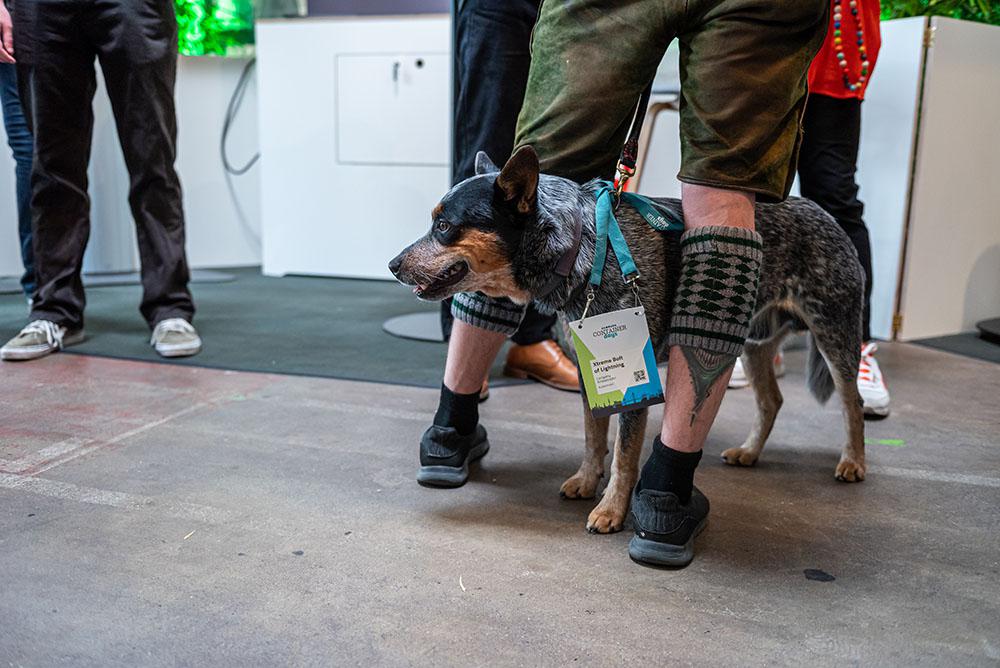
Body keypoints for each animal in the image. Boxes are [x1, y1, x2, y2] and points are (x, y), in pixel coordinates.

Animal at [390, 146, 866, 534]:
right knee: (771, 400)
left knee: (851, 401)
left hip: (834, 331)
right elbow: (593, 435)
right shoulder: (590, 373)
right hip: (751, 342)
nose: (393, 264)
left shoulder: (638, 381)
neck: (582, 251)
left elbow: (624, 452)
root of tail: (823, 212)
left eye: (444, 225)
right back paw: (750, 451)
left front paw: (611, 509)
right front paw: (586, 479)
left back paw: (853, 461)